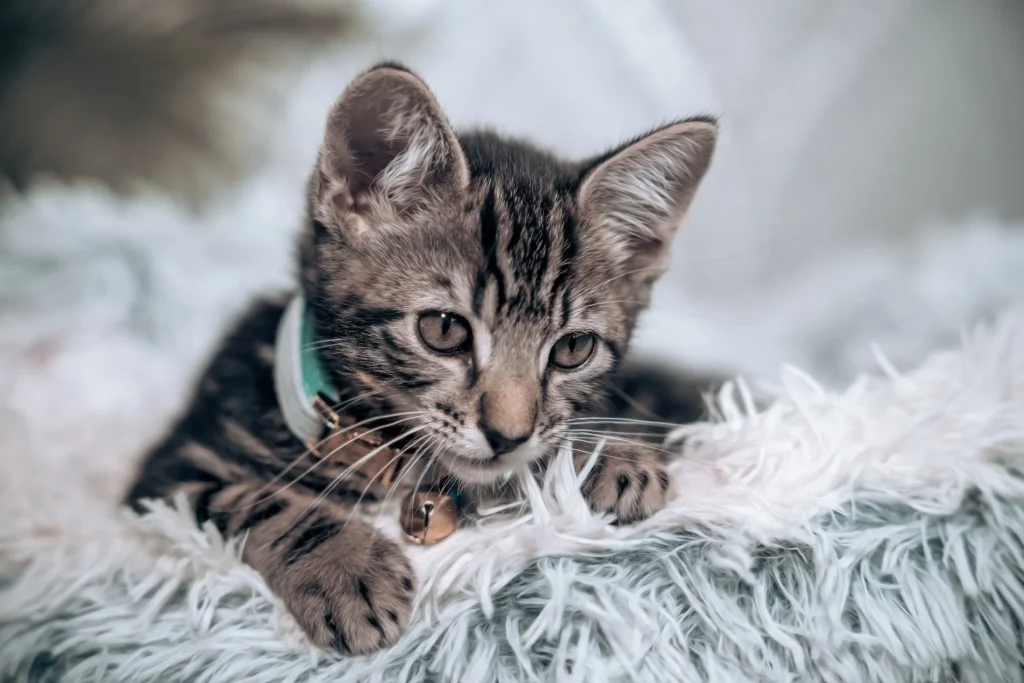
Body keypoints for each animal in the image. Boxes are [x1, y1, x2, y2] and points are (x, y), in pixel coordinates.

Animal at [128, 63, 716, 655]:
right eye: (443, 330)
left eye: (573, 349)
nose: (507, 435)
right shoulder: (171, 476)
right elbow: (258, 499)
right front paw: (346, 569)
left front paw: (603, 456)